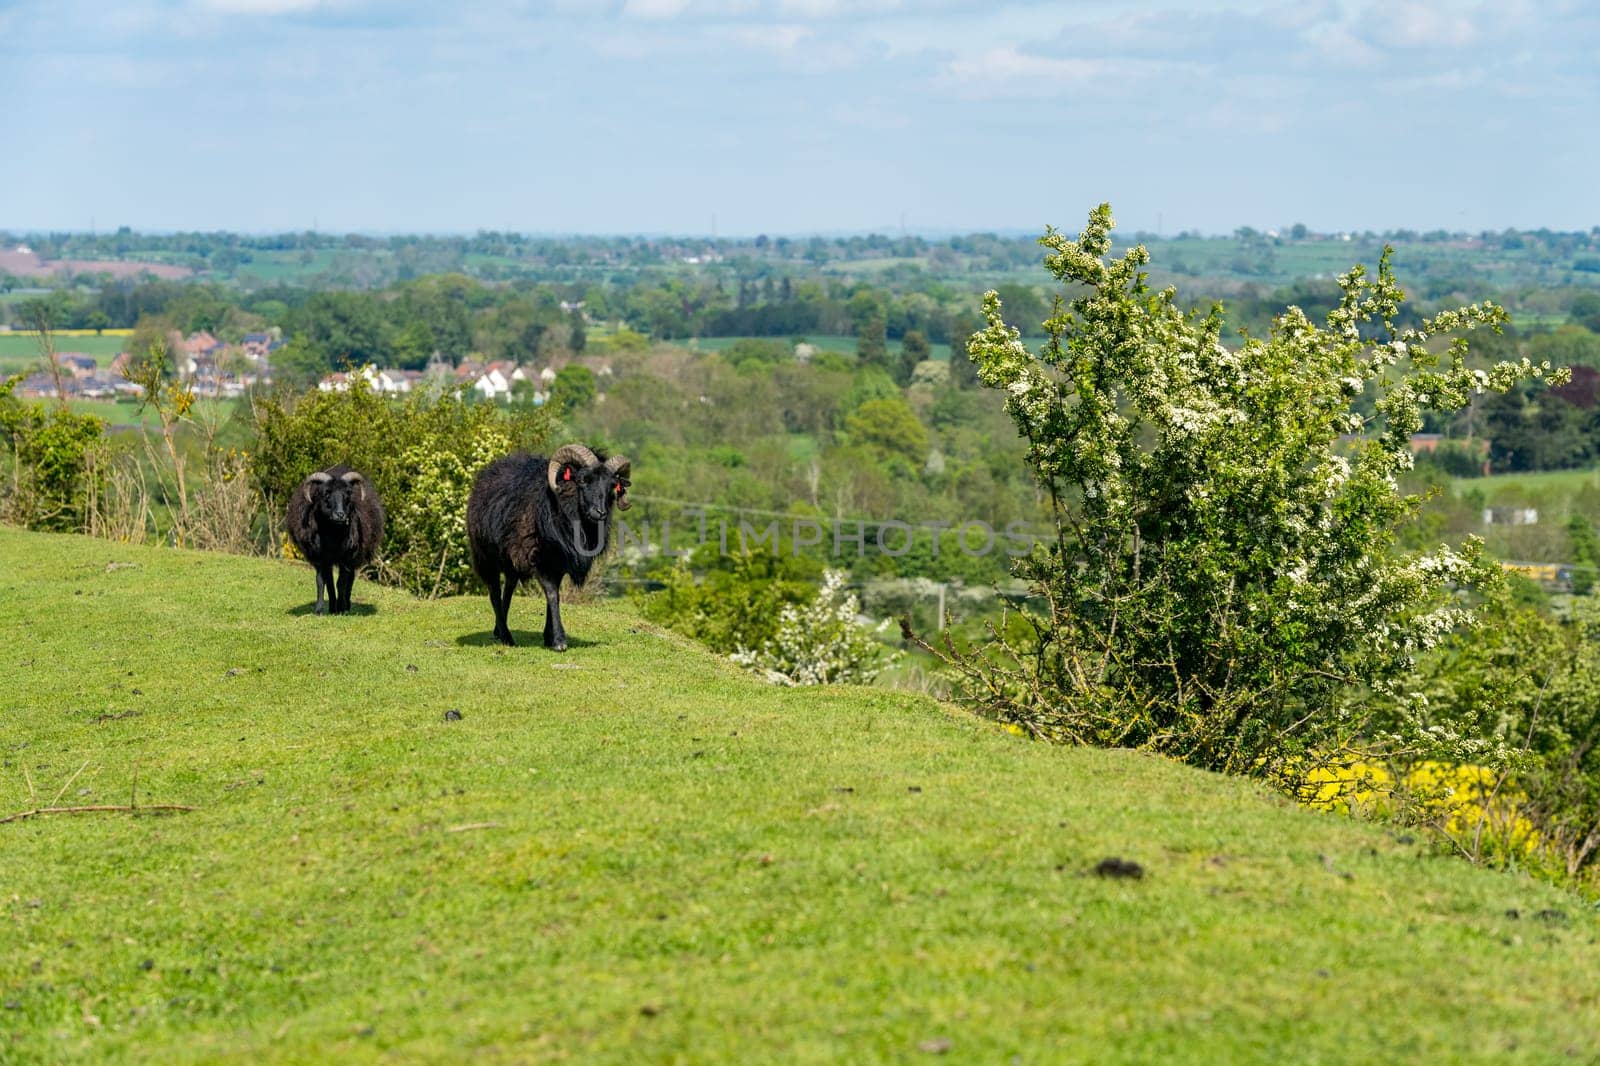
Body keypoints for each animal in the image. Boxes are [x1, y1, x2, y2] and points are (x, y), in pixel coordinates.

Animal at [284, 464, 384, 614]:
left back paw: (346, 605)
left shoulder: (346, 557)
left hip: (354, 556)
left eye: (348, 493)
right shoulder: (320, 557)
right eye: (326, 493)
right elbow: (322, 582)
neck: (333, 534)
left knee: (350, 579)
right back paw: (333, 606)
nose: (340, 515)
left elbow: (341, 583)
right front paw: (320, 609)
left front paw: (341, 608)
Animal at [467, 438, 627, 646]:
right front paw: (559, 640)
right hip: (485, 557)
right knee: (494, 591)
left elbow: (555, 595)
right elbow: (552, 594)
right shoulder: (538, 558)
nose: (600, 513)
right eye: (583, 480)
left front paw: (549, 636)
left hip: (510, 561)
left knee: (508, 589)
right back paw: (506, 636)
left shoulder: (559, 562)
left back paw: (498, 631)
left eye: (612, 485)